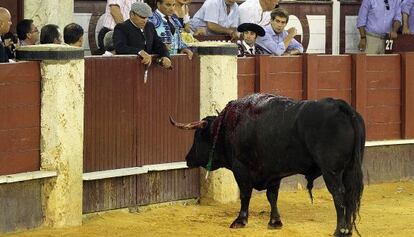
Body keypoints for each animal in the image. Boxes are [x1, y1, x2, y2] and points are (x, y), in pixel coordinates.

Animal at [170, 93, 364, 236]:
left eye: (198, 136)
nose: (187, 158)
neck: (226, 126)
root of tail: (340, 106)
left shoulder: (241, 169)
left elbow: (245, 195)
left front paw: (240, 221)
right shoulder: (274, 172)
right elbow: (272, 196)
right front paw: (275, 222)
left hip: (331, 171)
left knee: (339, 195)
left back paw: (340, 230)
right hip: (350, 169)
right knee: (349, 195)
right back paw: (348, 230)